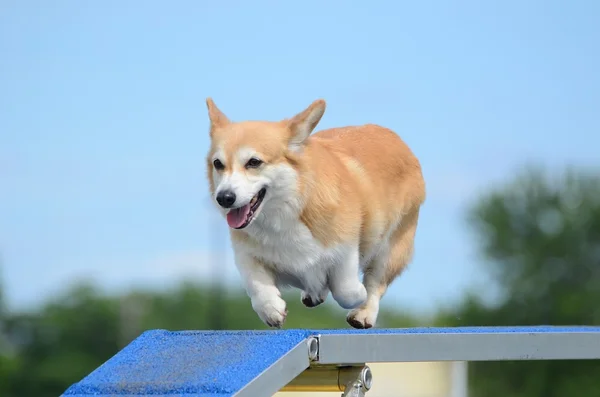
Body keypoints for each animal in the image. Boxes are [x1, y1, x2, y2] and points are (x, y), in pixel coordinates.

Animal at [206, 98, 426, 328]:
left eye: (254, 162)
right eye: (218, 164)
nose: (224, 198)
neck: (284, 214)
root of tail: (394, 137)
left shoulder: (346, 247)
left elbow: (347, 289)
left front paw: (358, 293)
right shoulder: (246, 254)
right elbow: (256, 283)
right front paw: (271, 309)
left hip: (391, 247)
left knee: (376, 283)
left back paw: (363, 313)